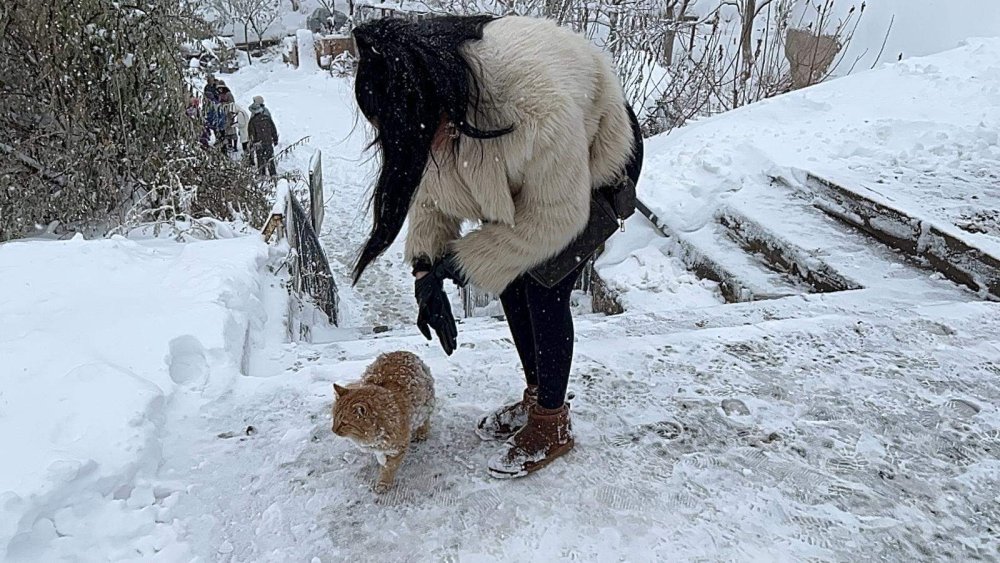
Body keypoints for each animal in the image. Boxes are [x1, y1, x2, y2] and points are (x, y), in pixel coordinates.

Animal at [332, 352, 434, 494]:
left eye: (344, 423)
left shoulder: (398, 447)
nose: (333, 430)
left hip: (426, 404)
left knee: (425, 419)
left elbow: (389, 467)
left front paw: (383, 482)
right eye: (334, 418)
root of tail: (405, 351)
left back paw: (422, 432)